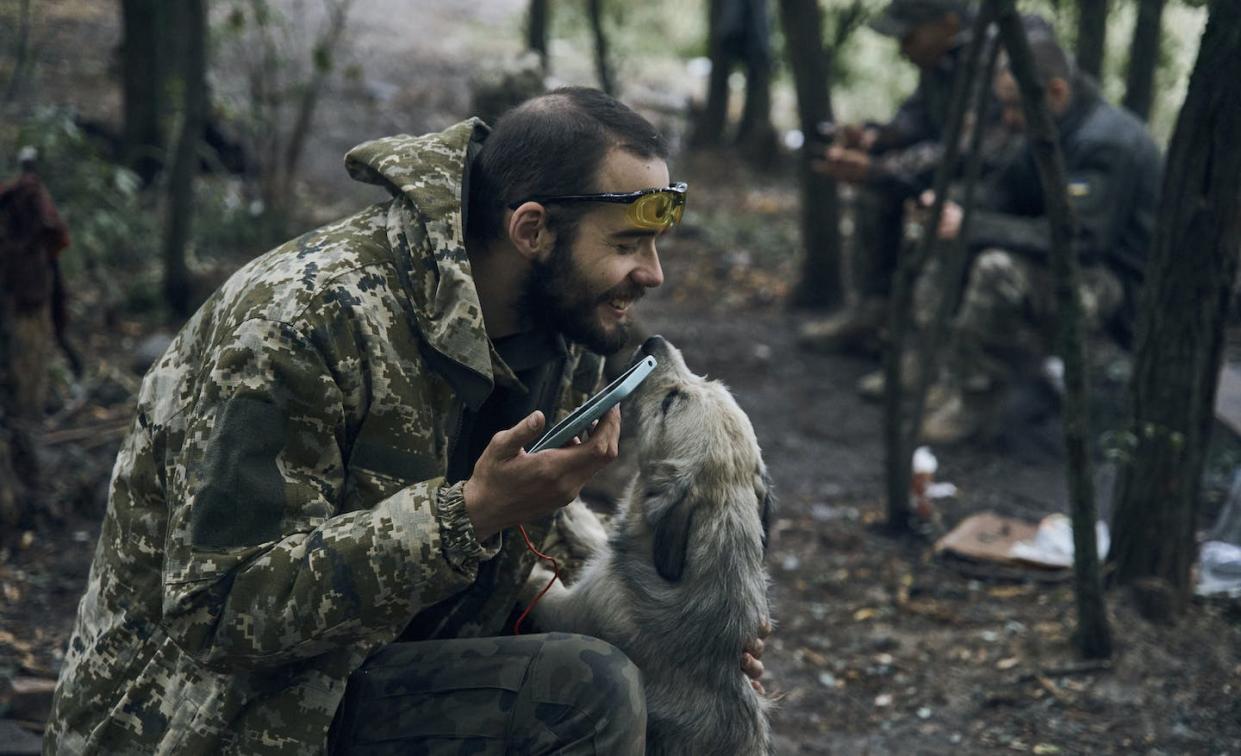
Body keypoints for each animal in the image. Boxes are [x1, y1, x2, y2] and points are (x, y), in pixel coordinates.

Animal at [528, 335, 769, 754]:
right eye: (707, 380)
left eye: (671, 400)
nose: (653, 341)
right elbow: (603, 540)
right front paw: (577, 516)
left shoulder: (574, 609)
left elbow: (540, 584)